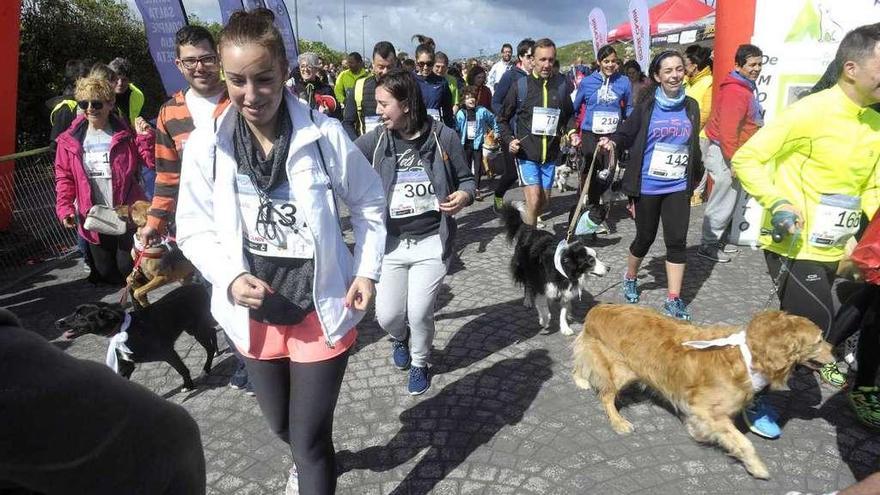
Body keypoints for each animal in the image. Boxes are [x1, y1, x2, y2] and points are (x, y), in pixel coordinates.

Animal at [56, 284, 217, 390]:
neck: (122, 329)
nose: (58, 322)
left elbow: (182, 369)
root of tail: (197, 286)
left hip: (197, 329)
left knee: (209, 346)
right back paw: (216, 350)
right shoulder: (126, 365)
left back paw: (206, 368)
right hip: (192, 328)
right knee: (213, 331)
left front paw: (188, 385)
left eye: (79, 316)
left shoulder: (168, 352)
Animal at [502, 205, 604, 338]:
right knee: (527, 285)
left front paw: (565, 328)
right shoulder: (541, 286)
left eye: (596, 257)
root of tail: (530, 230)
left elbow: (563, 312)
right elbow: (544, 308)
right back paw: (528, 301)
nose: (608, 268)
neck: (563, 269)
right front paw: (544, 320)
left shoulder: (565, 292)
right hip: (525, 268)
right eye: (591, 261)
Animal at [576, 304, 836, 478]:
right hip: (622, 371)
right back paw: (618, 421)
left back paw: (579, 379)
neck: (749, 355)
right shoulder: (708, 412)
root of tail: (599, 308)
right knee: (606, 395)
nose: (836, 352)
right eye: (819, 340)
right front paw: (757, 467)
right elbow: (744, 443)